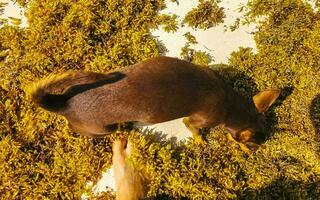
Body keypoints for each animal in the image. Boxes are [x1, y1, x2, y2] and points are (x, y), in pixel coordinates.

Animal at [30, 56, 280, 148]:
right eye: (250, 146)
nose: (252, 154)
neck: (229, 102)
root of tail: (63, 103)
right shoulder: (196, 121)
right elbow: (194, 130)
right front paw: (200, 141)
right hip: (104, 129)